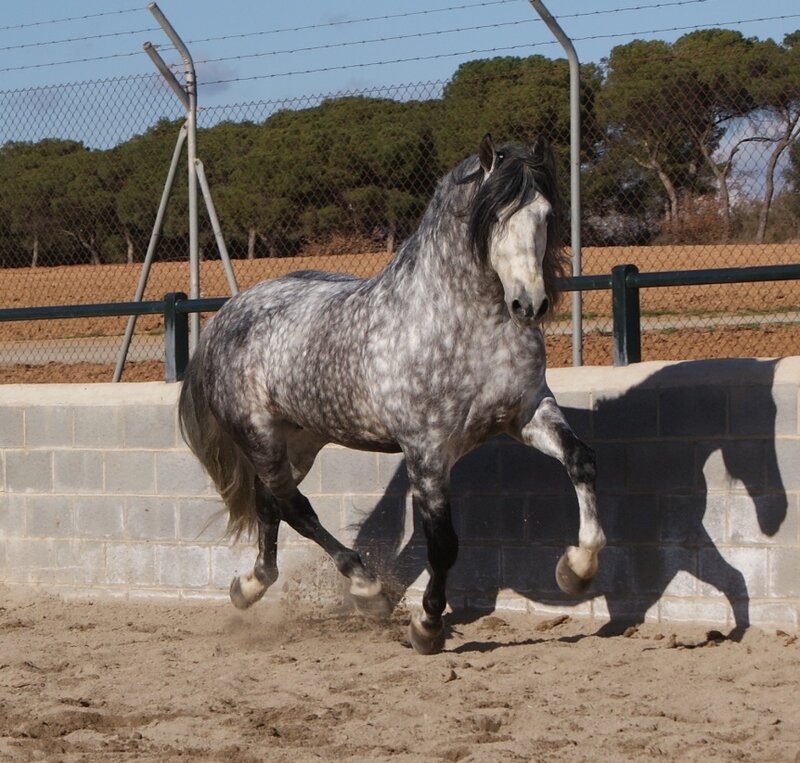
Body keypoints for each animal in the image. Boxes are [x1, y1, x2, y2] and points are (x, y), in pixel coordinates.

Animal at [178, 134, 606, 654]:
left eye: (544, 214)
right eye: (494, 218)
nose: (530, 303)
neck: (464, 325)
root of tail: (226, 315)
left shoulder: (527, 413)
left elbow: (581, 461)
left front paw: (576, 569)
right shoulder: (427, 451)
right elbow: (442, 543)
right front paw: (427, 627)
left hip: (299, 440)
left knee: (270, 501)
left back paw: (250, 586)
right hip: (259, 437)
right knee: (294, 505)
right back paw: (367, 589)